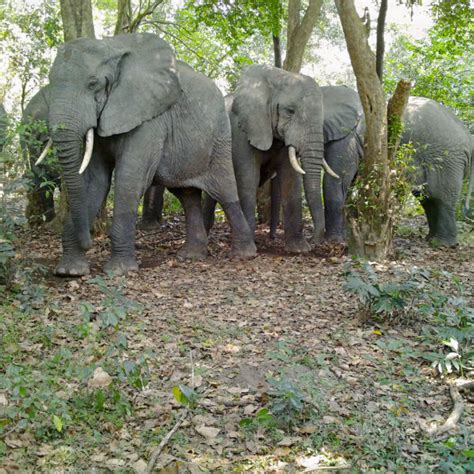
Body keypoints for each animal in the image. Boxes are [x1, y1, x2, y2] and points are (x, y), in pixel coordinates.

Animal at [46, 33, 258, 276]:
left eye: (92, 84)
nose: (89, 242)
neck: (111, 46)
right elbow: (95, 179)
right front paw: (70, 271)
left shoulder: (149, 120)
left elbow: (131, 178)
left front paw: (119, 271)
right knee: (187, 195)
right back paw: (191, 256)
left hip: (220, 140)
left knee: (225, 191)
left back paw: (244, 254)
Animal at [202, 65, 338, 256]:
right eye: (290, 111)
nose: (315, 241)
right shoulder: (242, 130)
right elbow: (247, 180)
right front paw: (251, 248)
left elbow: (291, 182)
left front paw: (299, 249)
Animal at [314, 86, 470, 246]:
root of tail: (469, 138)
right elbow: (348, 183)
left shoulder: (348, 138)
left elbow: (337, 181)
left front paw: (334, 241)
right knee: (427, 198)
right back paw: (431, 239)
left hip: (448, 160)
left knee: (441, 198)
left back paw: (441, 244)